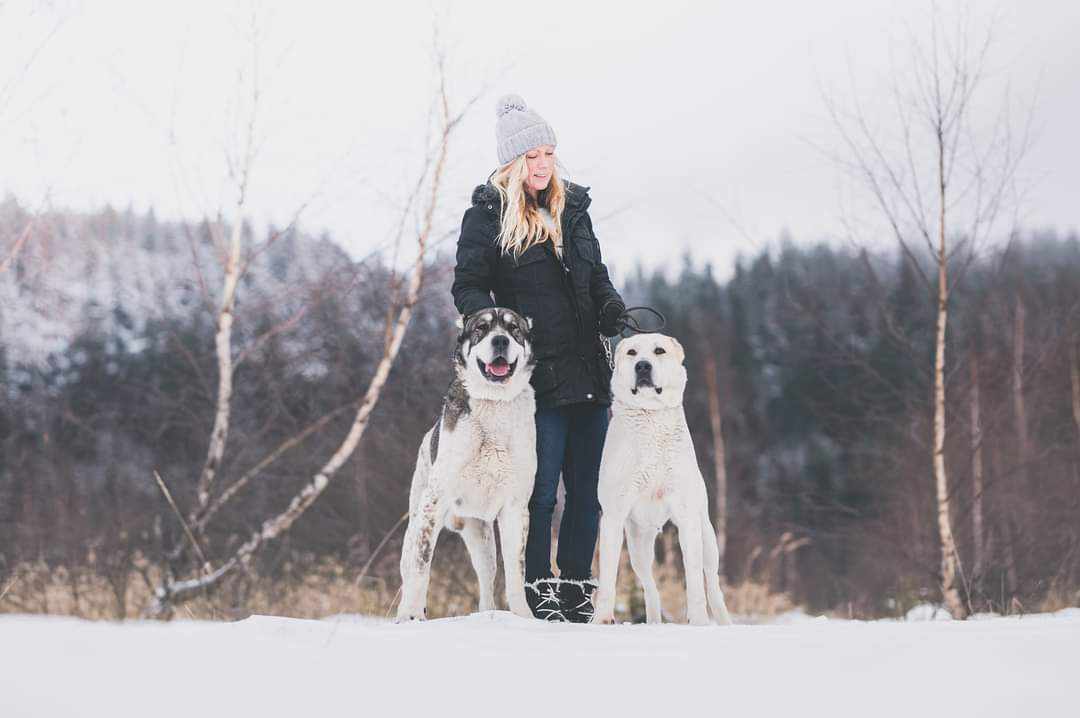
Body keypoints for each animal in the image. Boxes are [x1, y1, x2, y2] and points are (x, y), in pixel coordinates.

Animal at [395, 304, 537, 617]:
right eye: (481, 329)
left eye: (513, 329)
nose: (500, 341)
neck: (494, 403)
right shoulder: (433, 505)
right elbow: (422, 569)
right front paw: (412, 616)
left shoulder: (515, 508)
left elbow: (516, 571)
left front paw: (523, 616)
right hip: (415, 525)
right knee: (409, 571)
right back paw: (405, 613)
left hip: (481, 538)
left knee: (487, 580)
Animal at [591, 332, 734, 626]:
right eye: (632, 352)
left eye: (659, 351)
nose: (643, 366)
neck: (651, 420)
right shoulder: (613, 518)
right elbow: (608, 578)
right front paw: (601, 619)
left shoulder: (688, 520)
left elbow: (694, 579)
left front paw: (699, 621)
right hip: (637, 545)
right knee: (649, 586)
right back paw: (655, 622)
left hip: (707, 537)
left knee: (713, 583)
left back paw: (723, 621)